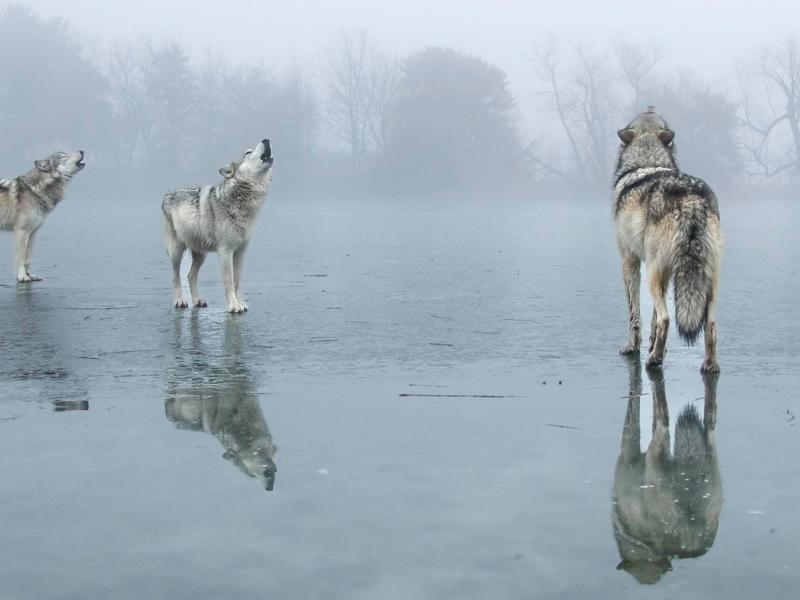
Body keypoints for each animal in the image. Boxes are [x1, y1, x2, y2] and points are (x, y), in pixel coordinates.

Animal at [0, 151, 86, 282]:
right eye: (63, 156)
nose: (82, 151)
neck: (35, 190)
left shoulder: (32, 232)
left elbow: (28, 258)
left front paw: (29, 275)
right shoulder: (21, 232)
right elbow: (20, 258)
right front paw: (22, 276)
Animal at [161, 139, 274, 313]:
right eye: (248, 153)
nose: (266, 140)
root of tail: (168, 192)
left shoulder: (241, 251)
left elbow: (237, 280)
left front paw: (240, 302)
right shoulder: (225, 251)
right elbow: (229, 281)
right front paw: (234, 306)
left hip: (201, 254)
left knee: (190, 276)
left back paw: (198, 300)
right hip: (176, 251)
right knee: (176, 277)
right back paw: (180, 301)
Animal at [612, 357, 722, 584]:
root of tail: (690, 538)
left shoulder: (628, 449)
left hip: (656, 453)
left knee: (663, 419)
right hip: (711, 452)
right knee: (710, 419)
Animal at [614, 107, 723, 372]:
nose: (651, 106)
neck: (647, 163)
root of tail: (693, 199)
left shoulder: (629, 261)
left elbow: (635, 313)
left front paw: (633, 347)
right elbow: (651, 319)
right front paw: (652, 344)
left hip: (654, 273)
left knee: (666, 319)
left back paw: (654, 359)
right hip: (708, 282)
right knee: (711, 325)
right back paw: (709, 366)